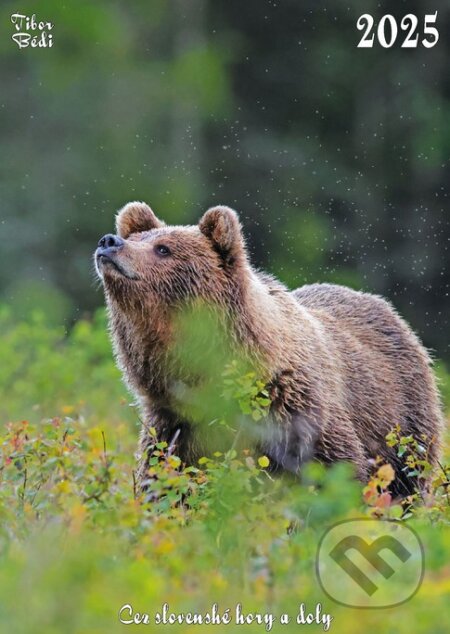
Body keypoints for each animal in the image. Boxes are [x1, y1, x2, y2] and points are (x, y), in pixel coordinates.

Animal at [94, 200, 442, 496]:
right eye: (140, 236)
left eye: (163, 248)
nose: (109, 241)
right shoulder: (178, 424)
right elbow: (168, 479)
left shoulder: (294, 410)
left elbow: (331, 469)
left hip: (403, 421)